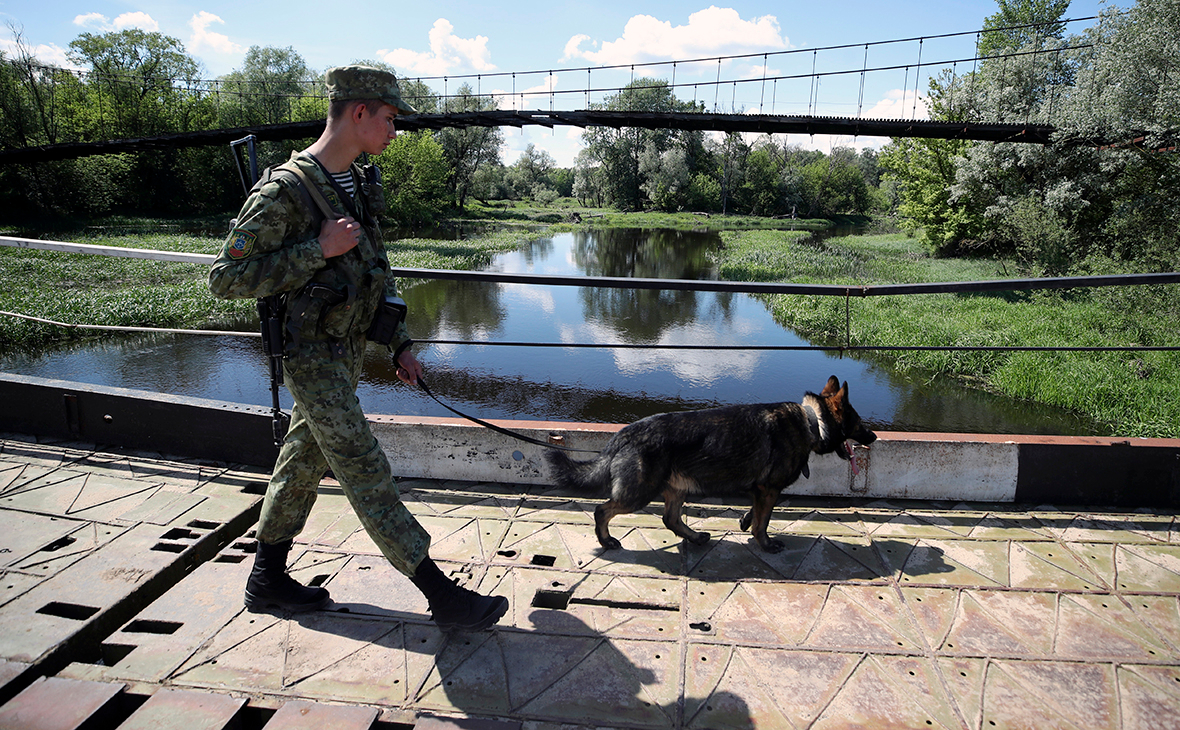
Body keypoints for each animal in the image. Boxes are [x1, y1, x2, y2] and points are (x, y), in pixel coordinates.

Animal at [542, 377, 877, 554]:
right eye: (859, 422)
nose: (873, 436)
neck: (812, 421)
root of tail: (626, 433)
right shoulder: (769, 488)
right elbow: (764, 521)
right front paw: (765, 543)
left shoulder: (761, 489)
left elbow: (756, 513)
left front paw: (745, 522)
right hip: (639, 492)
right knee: (603, 510)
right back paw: (607, 540)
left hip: (675, 489)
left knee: (670, 519)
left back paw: (695, 537)